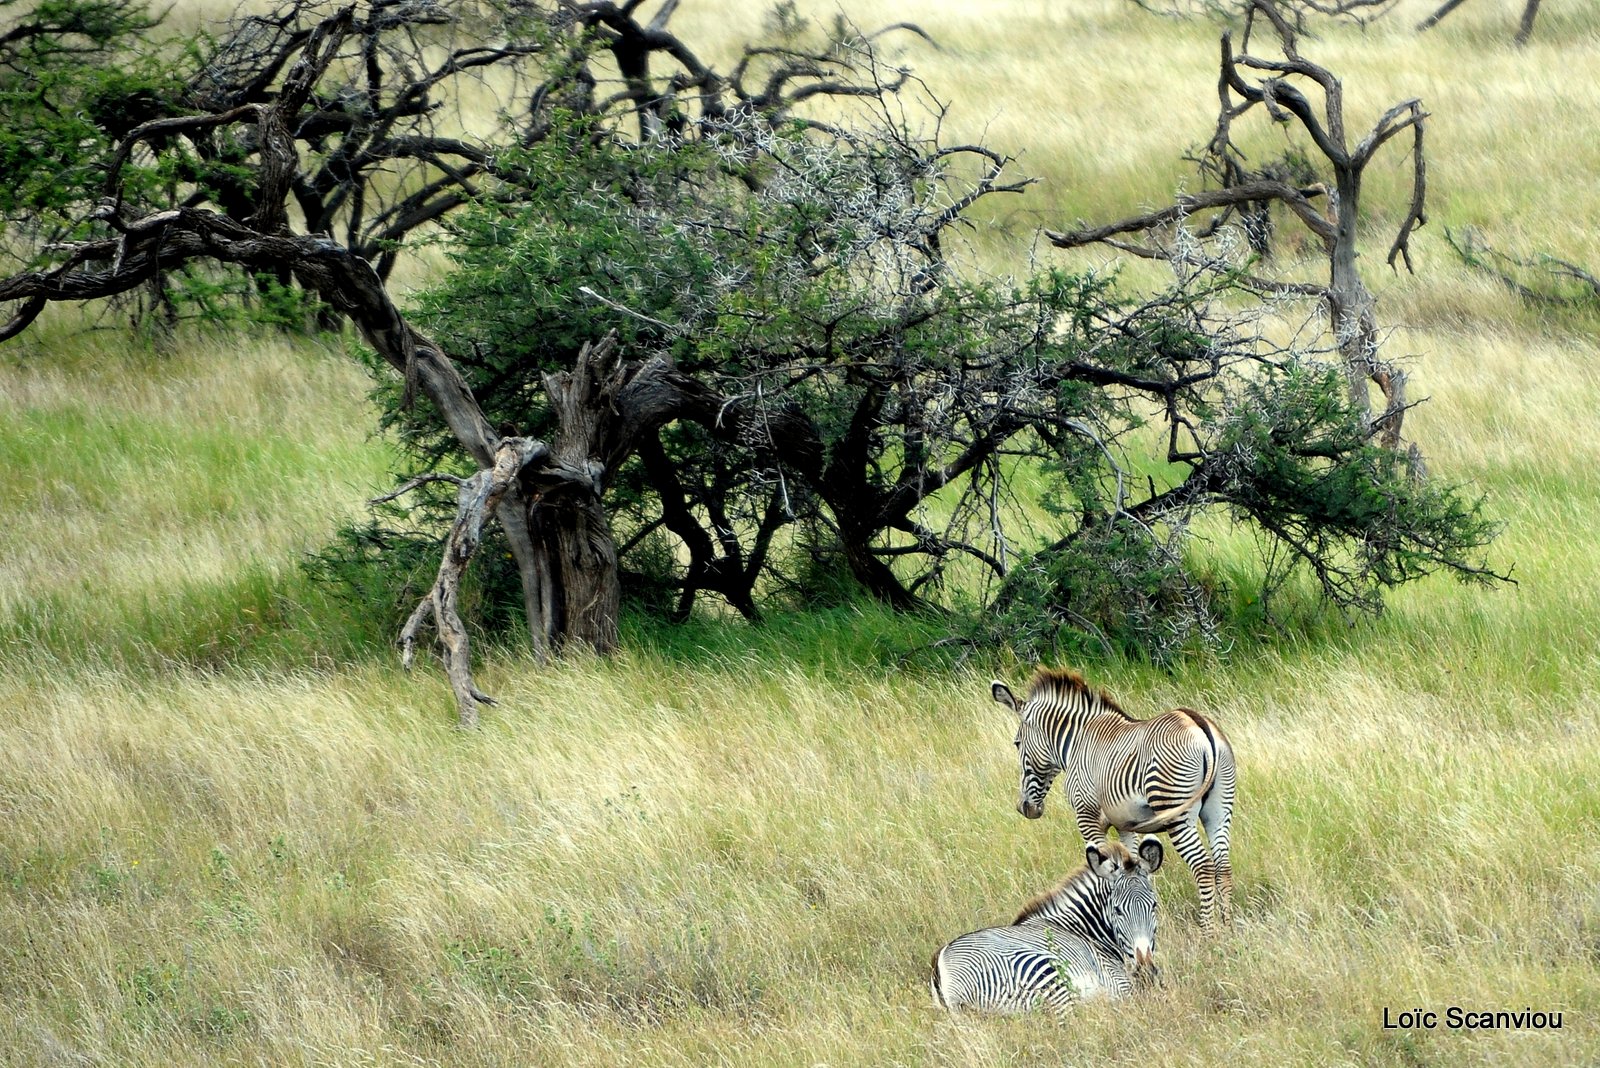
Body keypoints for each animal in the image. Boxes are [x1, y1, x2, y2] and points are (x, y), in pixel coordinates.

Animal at [928, 837, 1164, 1016]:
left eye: (1154, 905)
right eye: (1117, 910)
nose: (1146, 967)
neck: (1082, 931)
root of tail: (940, 966)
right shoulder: (1118, 983)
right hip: (1049, 978)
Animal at [985, 671, 1235, 927]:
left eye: (1017, 744)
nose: (1024, 808)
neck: (1077, 742)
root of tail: (1199, 725)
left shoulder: (1087, 816)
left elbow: (1101, 869)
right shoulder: (1125, 824)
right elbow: (1131, 864)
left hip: (1175, 809)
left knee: (1203, 867)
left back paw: (1209, 930)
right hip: (1219, 809)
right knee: (1222, 866)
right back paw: (1228, 926)